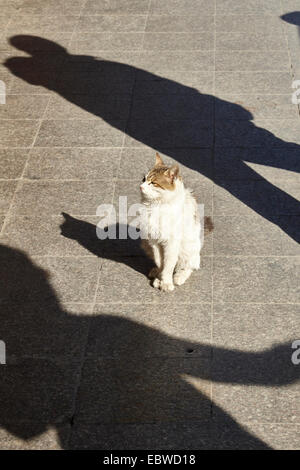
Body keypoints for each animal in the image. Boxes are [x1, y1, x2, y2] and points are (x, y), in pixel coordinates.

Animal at [140, 152, 202, 292]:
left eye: (153, 183)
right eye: (144, 179)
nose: (141, 186)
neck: (156, 205)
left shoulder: (172, 243)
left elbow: (168, 265)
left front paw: (166, 282)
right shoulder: (153, 241)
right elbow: (160, 262)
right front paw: (159, 277)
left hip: (188, 248)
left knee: (189, 266)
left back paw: (179, 276)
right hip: (145, 243)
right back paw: (155, 271)